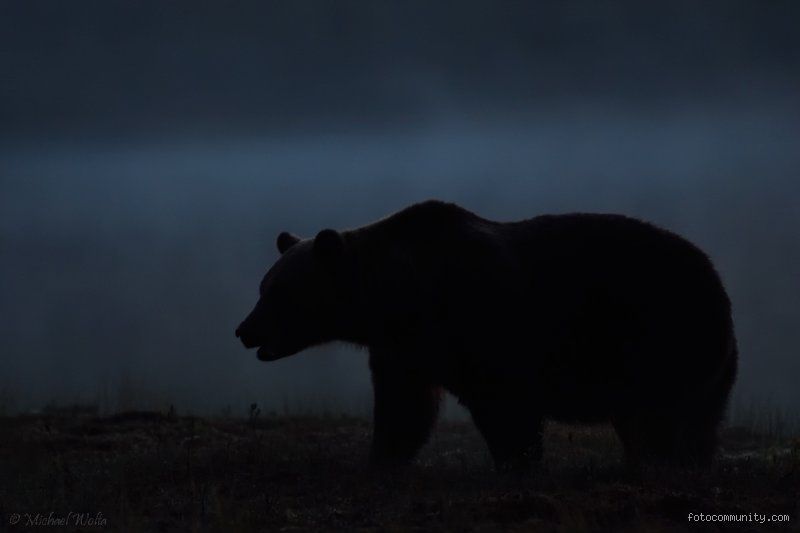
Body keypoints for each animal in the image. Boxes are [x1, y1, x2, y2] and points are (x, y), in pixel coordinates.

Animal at [235, 200, 737, 471]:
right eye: (263, 286)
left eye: (276, 293)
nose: (243, 330)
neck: (399, 297)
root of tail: (720, 284)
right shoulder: (405, 349)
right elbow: (404, 409)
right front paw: (381, 460)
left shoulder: (484, 324)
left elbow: (506, 407)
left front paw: (517, 463)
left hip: (660, 335)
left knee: (663, 418)